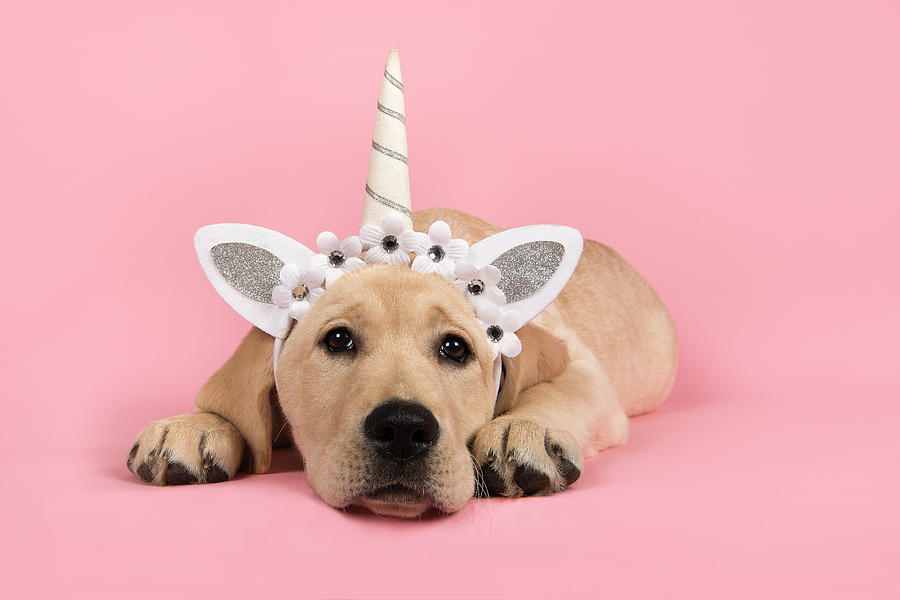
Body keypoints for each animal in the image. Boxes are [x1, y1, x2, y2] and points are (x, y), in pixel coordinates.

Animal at [125, 206, 676, 516]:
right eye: (338, 340)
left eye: (455, 348)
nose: (404, 430)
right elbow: (233, 405)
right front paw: (196, 426)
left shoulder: (581, 367)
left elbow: (554, 388)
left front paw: (524, 430)